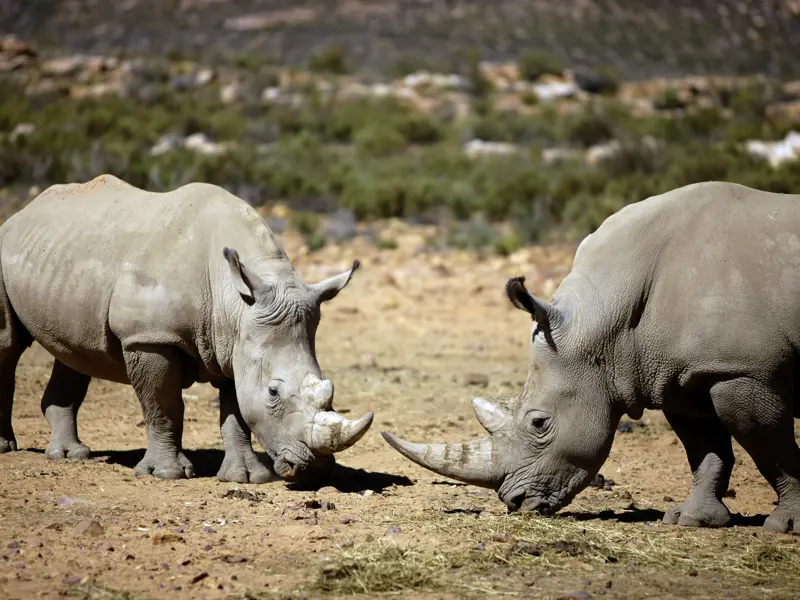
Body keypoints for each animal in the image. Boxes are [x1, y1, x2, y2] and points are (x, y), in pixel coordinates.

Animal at [0, 173, 372, 482]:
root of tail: (21, 215)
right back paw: (8, 448)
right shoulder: (149, 338)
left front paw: (246, 478)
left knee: (75, 352)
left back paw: (70, 455)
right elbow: (163, 405)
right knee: (8, 345)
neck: (235, 301)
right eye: (272, 392)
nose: (317, 468)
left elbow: (236, 411)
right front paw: (167, 474)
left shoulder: (232, 343)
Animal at [384, 180, 800, 532]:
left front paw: (788, 525)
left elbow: (771, 449)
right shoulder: (686, 375)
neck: (605, 323)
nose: (515, 502)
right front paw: (692, 520)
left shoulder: (742, 372)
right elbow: (705, 448)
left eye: (539, 423)